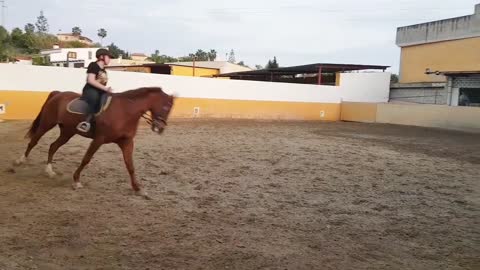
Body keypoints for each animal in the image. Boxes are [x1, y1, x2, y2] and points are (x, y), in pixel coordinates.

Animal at [12, 86, 174, 198]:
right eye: (166, 106)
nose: (160, 128)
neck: (125, 111)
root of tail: (58, 93)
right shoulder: (99, 139)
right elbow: (86, 159)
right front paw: (76, 181)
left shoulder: (126, 142)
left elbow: (130, 166)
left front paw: (138, 189)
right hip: (47, 124)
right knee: (34, 141)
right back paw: (19, 161)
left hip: (67, 132)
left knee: (53, 146)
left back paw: (49, 171)